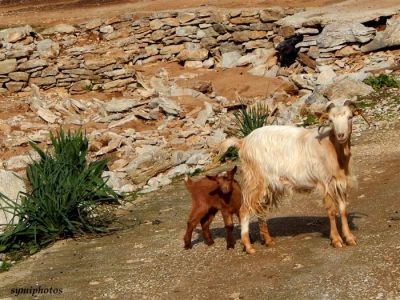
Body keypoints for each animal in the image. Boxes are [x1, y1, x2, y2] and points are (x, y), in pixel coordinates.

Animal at [227, 100, 364, 253]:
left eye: (350, 117)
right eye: (330, 120)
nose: (341, 135)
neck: (331, 147)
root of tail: (243, 142)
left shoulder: (339, 182)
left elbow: (343, 210)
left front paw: (349, 238)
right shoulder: (324, 182)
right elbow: (332, 211)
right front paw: (336, 240)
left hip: (268, 185)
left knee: (260, 210)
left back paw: (268, 241)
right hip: (255, 180)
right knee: (244, 210)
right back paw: (248, 246)